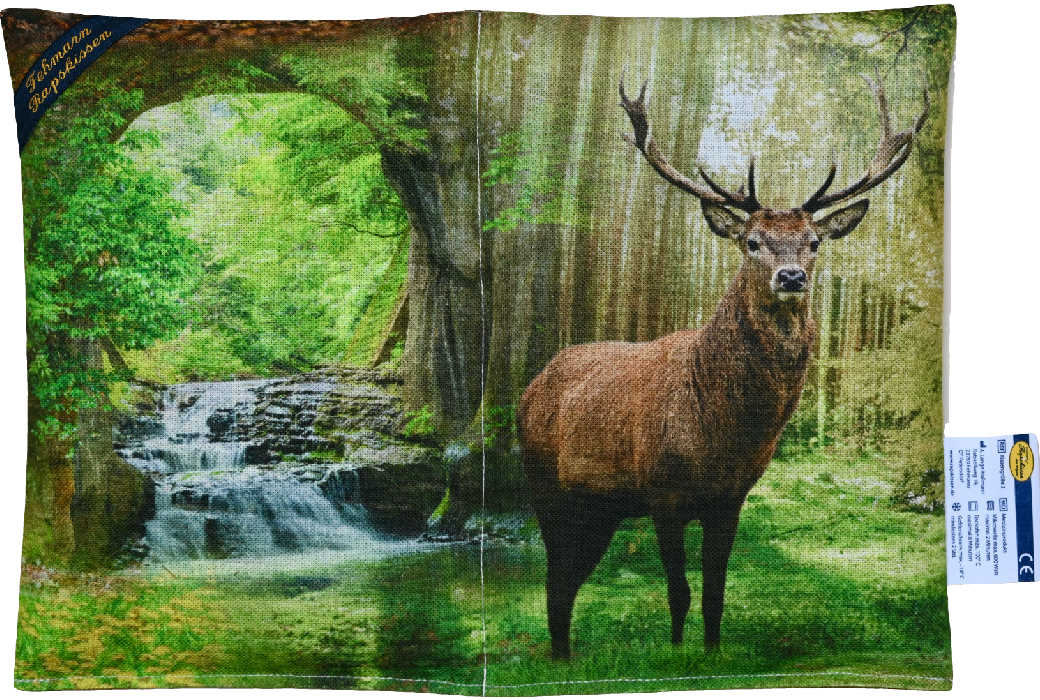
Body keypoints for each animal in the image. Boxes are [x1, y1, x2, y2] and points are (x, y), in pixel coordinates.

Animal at [517, 73, 929, 660]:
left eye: (814, 241)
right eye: (752, 241)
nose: (791, 277)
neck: (722, 430)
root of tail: (532, 385)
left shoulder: (731, 497)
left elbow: (715, 590)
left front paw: (710, 652)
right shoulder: (662, 490)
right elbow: (680, 590)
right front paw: (674, 654)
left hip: (601, 507)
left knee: (570, 578)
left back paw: (567, 655)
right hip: (545, 483)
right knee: (556, 575)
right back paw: (560, 658)